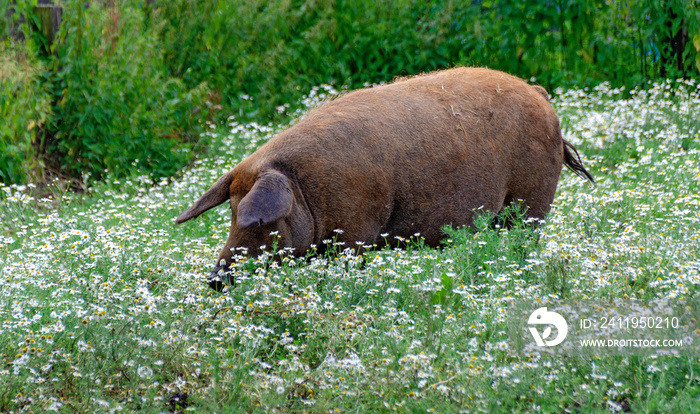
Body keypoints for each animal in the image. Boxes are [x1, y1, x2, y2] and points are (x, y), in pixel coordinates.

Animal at [174, 68, 592, 290]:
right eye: (230, 212)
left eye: (262, 221)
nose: (215, 280)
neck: (306, 190)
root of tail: (540, 95)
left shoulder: (357, 233)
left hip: (531, 201)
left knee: (526, 241)